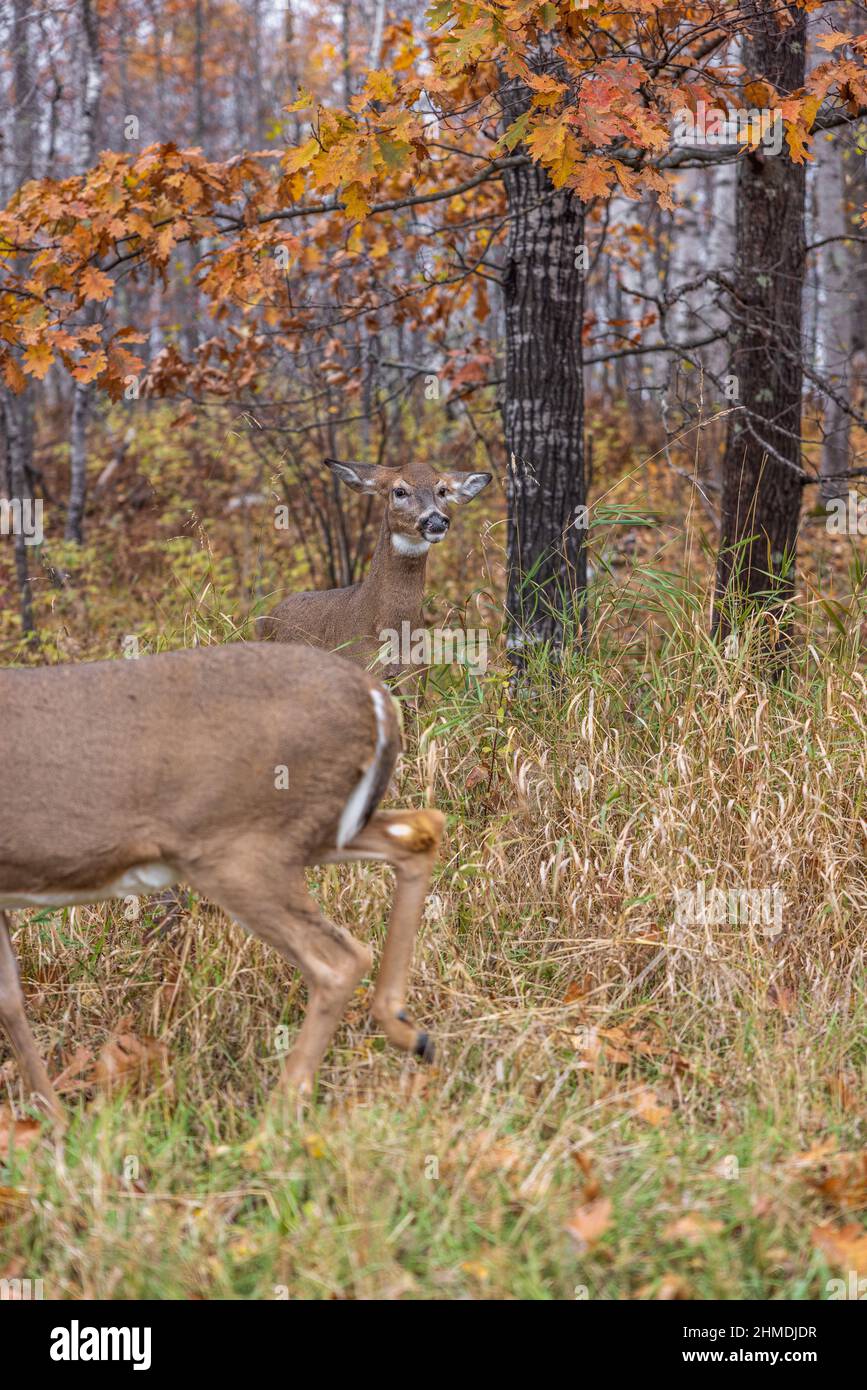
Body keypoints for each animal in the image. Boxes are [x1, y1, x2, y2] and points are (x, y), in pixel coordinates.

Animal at [0, 644, 444, 1123]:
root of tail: (375, 698)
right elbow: (9, 996)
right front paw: (55, 1122)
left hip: (239, 847)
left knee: (339, 958)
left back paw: (274, 1120)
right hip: (312, 833)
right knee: (421, 828)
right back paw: (409, 1032)